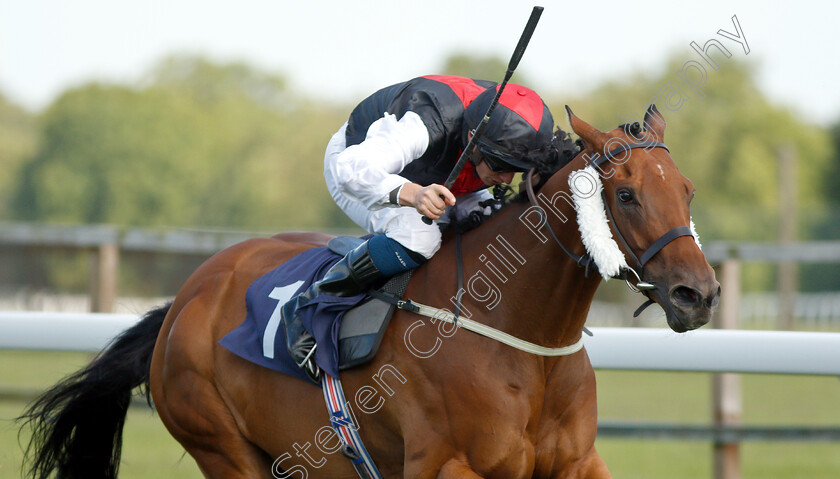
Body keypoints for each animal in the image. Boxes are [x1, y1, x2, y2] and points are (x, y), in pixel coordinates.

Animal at [19, 107, 720, 478]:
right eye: (625, 194)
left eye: (686, 188)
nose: (699, 294)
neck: (523, 341)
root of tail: (182, 305)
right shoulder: (448, 465)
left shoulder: (578, 463)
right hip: (225, 449)